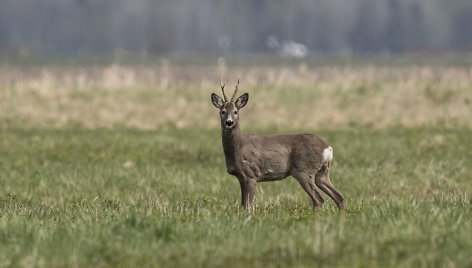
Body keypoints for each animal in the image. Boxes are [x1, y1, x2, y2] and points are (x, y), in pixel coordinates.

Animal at [212, 80, 344, 210]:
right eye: (222, 111)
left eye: (236, 111)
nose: (229, 122)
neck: (238, 148)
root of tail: (327, 148)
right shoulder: (241, 176)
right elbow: (243, 204)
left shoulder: (252, 174)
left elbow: (247, 206)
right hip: (322, 173)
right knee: (339, 196)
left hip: (304, 170)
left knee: (319, 199)